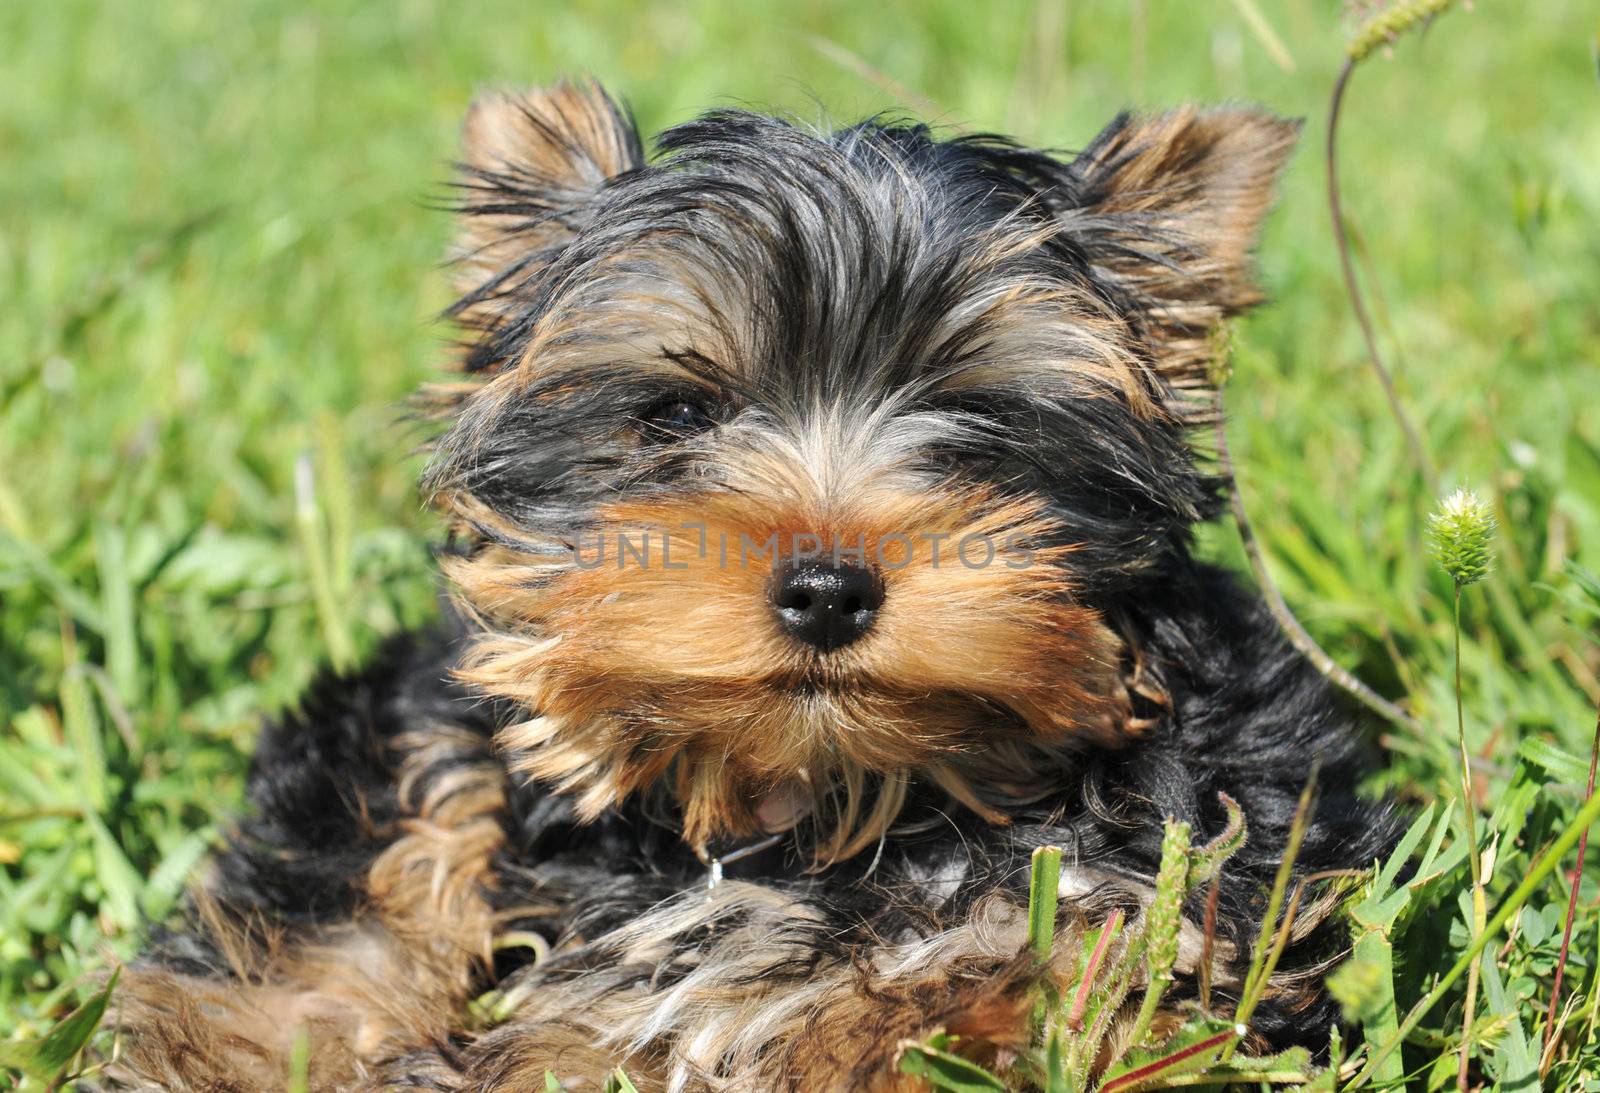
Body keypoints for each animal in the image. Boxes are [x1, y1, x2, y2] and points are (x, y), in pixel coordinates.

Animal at [112, 81, 1395, 1088]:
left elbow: (1062, 972)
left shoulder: (1199, 863)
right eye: (676, 415)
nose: (827, 587)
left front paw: (880, 1020)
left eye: (980, 431)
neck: (818, 795)